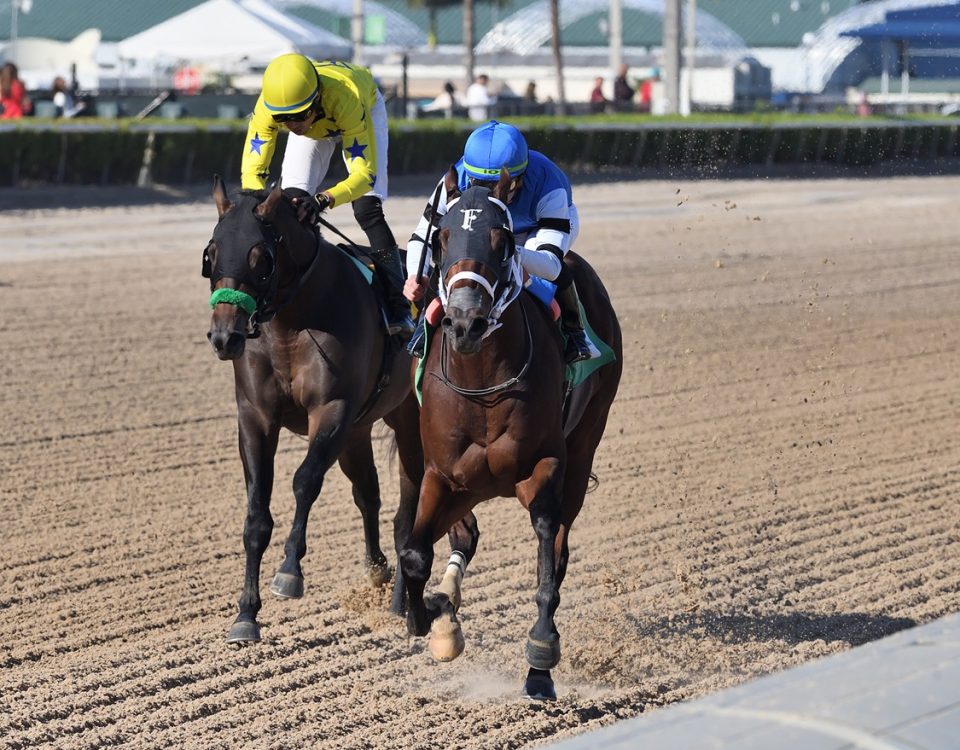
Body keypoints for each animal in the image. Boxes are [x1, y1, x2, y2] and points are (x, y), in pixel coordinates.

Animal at [204, 178, 422, 648]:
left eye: (261, 259)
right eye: (211, 253)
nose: (225, 336)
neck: (290, 321)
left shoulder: (332, 410)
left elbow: (305, 481)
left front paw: (289, 572)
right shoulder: (255, 417)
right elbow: (256, 515)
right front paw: (245, 616)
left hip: (411, 422)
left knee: (408, 513)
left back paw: (401, 606)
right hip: (358, 432)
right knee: (368, 494)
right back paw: (378, 573)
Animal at [398, 167, 624, 704]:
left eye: (502, 241)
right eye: (442, 236)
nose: (464, 321)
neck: (482, 383)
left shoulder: (546, 466)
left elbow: (546, 549)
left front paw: (541, 656)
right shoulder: (444, 474)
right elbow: (415, 554)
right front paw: (430, 618)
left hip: (585, 446)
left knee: (559, 546)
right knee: (462, 536)